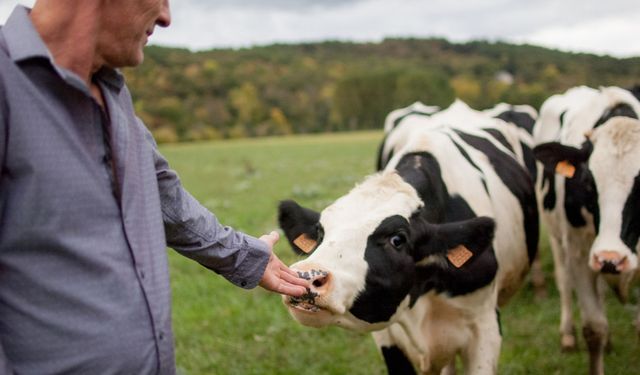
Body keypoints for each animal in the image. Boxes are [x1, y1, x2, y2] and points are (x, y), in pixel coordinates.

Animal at [528, 86, 640, 375]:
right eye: (587, 181)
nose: (610, 256)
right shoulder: (580, 253)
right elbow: (594, 327)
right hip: (558, 240)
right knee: (564, 283)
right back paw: (567, 337)